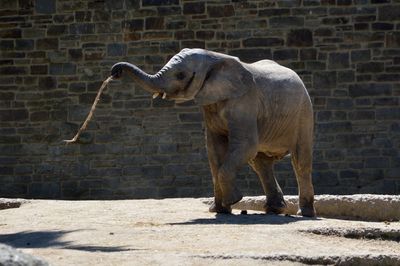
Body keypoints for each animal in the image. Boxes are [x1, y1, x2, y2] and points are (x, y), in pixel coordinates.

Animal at [110, 48, 316, 217]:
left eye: (181, 75)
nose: (115, 71)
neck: (214, 59)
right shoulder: (211, 104)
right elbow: (214, 150)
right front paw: (220, 210)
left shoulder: (245, 101)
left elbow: (245, 145)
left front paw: (233, 201)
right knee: (260, 163)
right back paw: (274, 210)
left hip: (304, 112)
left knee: (300, 161)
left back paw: (305, 213)